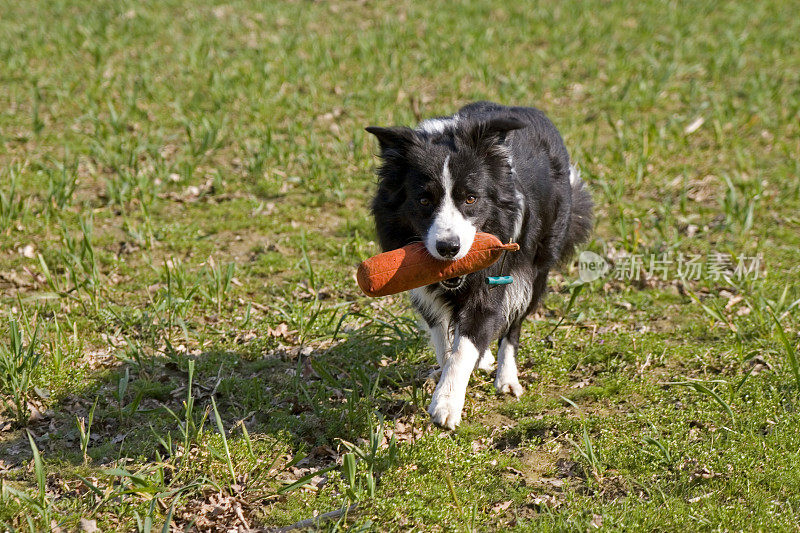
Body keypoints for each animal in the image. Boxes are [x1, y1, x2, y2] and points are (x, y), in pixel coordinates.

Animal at [366, 101, 592, 428]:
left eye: (471, 199)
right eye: (423, 201)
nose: (449, 248)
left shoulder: (495, 274)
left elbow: (469, 340)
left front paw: (446, 404)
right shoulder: (423, 289)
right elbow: (443, 340)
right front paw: (446, 377)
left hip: (539, 259)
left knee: (514, 321)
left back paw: (506, 378)